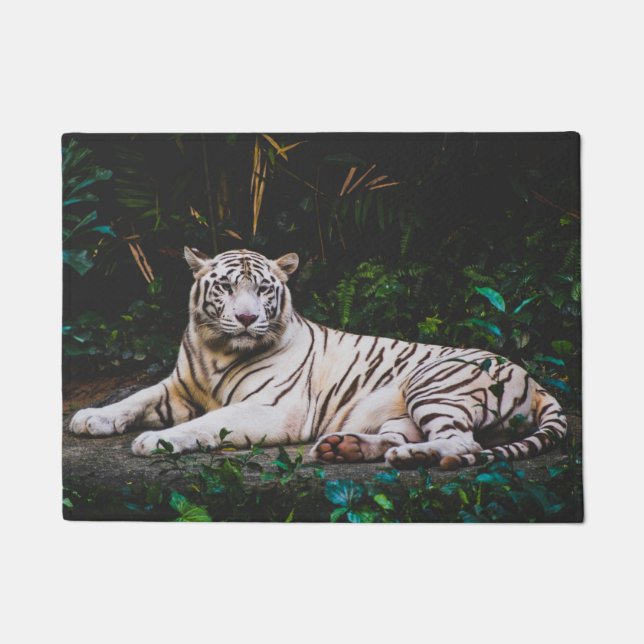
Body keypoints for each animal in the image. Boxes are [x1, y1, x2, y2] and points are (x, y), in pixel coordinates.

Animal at [69, 247, 567, 470]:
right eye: (226, 287)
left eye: (263, 289)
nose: (247, 318)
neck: (217, 349)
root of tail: (536, 381)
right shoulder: (178, 386)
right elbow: (135, 397)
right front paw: (91, 417)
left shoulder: (273, 409)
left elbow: (208, 423)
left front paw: (156, 441)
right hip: (404, 410)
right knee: (404, 435)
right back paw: (344, 447)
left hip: (434, 384)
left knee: (464, 443)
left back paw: (412, 457)